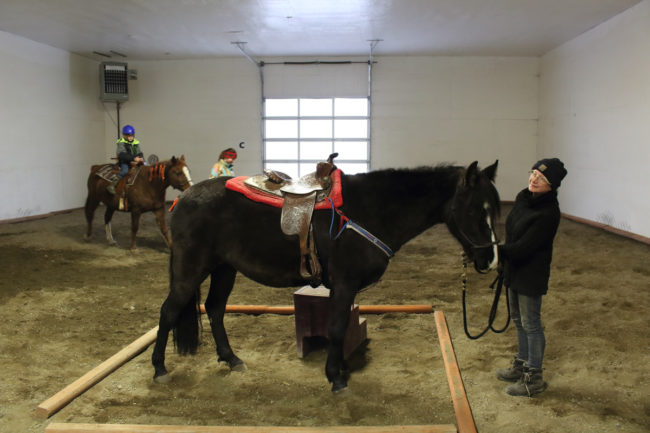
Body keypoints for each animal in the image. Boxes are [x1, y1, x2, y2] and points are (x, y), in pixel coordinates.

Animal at [151, 159, 500, 392]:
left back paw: (231, 358)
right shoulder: (345, 284)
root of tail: (182, 199)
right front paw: (336, 377)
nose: (491, 259)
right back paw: (159, 368)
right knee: (169, 311)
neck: (371, 209)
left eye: (495, 211)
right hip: (191, 269)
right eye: (474, 210)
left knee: (215, 309)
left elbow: (342, 328)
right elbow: (335, 328)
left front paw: (341, 367)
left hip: (224, 269)